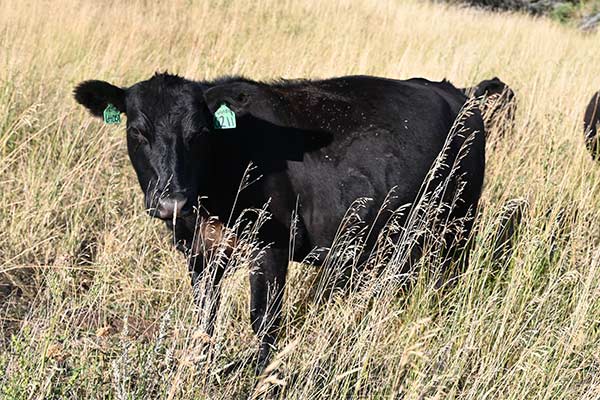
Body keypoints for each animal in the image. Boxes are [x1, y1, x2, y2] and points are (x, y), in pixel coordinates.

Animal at [74, 73, 488, 374]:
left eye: (200, 134)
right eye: (136, 131)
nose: (171, 201)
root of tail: (452, 90)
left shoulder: (270, 244)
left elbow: (263, 318)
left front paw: (256, 372)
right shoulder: (199, 250)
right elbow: (205, 314)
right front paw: (200, 362)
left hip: (457, 224)